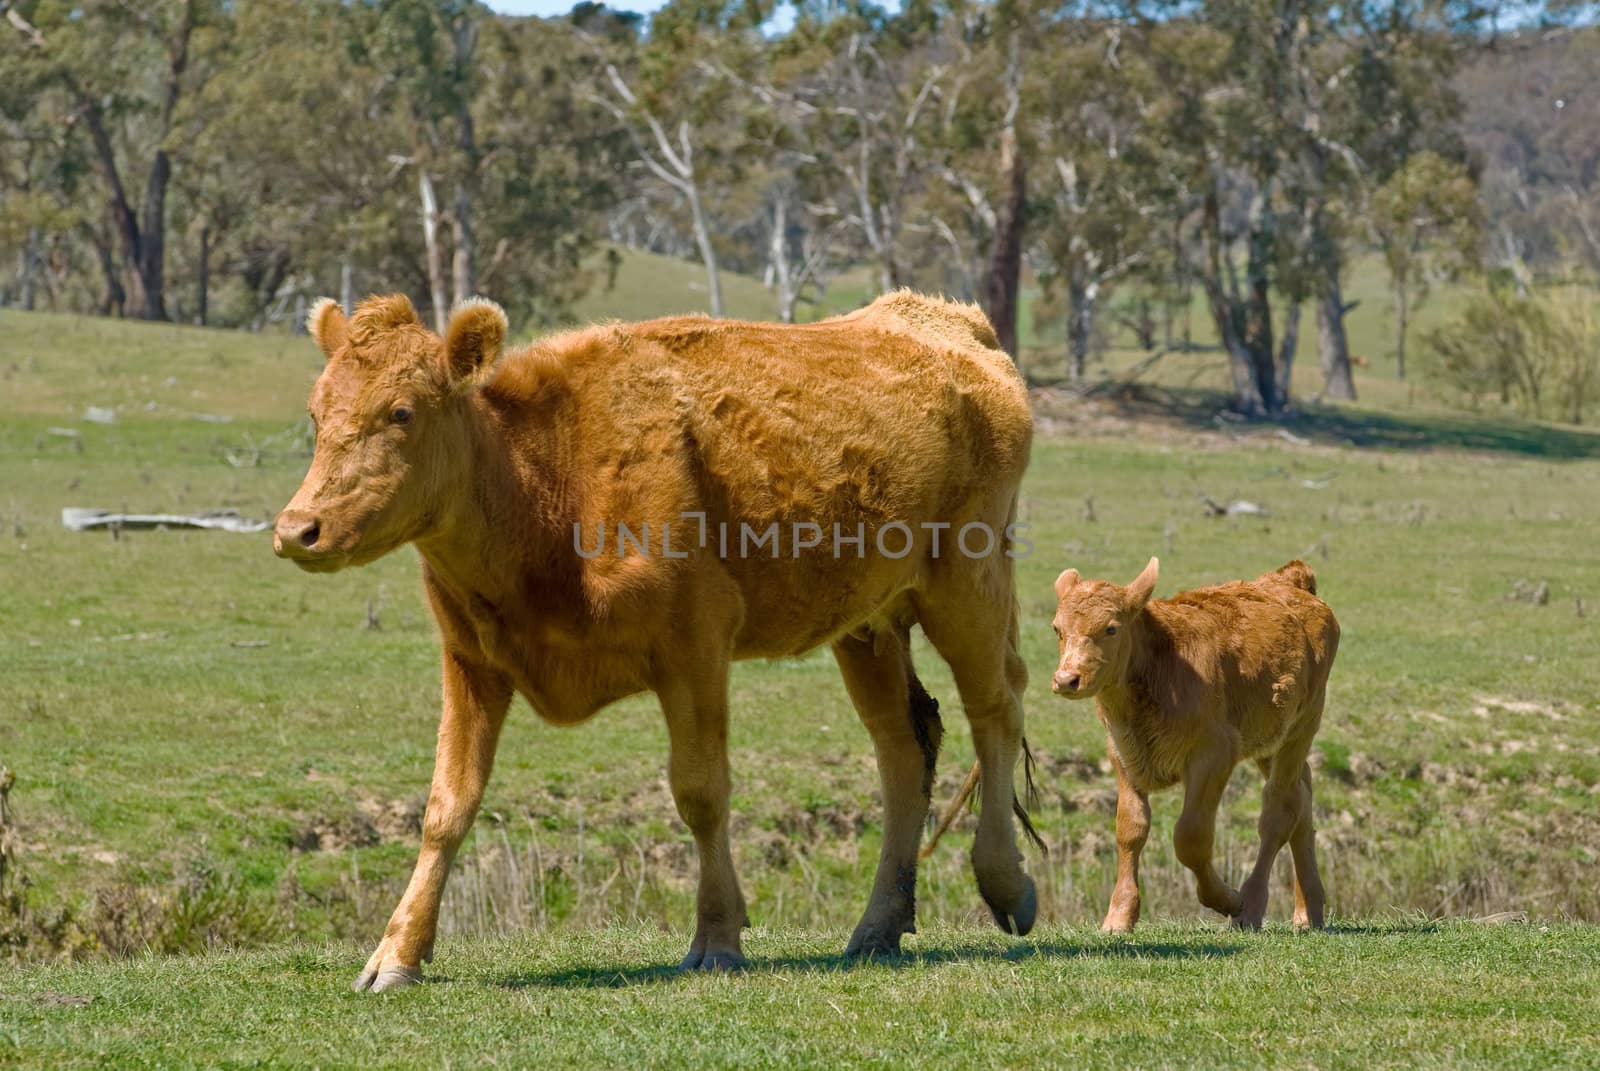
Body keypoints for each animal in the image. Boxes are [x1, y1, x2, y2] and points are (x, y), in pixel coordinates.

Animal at [275, 289, 1036, 986]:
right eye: (315, 413)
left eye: (401, 412)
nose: (297, 529)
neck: (544, 479)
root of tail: (945, 321)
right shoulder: (471, 663)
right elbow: (446, 806)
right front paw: (396, 953)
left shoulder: (694, 647)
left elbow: (701, 791)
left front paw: (718, 937)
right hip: (866, 624)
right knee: (904, 746)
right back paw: (878, 926)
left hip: (967, 583)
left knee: (996, 708)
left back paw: (1005, 883)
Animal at [1049, 557, 1337, 928]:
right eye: (1057, 629)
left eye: (1111, 628)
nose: (1066, 679)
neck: (1162, 662)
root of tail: (1289, 581)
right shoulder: (1122, 754)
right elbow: (1131, 828)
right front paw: (1119, 915)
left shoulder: (1214, 754)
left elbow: (1191, 836)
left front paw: (1227, 900)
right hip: (1269, 740)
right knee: (1302, 796)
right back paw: (1308, 910)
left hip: (1302, 727)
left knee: (1279, 810)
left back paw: (1251, 906)